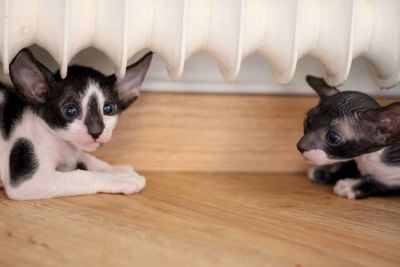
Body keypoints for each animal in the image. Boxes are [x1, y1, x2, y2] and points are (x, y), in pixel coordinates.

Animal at [0, 48, 152, 201]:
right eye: (70, 111)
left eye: (108, 109)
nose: (96, 131)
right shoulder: (28, 182)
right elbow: (82, 175)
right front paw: (120, 179)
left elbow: (88, 158)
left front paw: (116, 170)